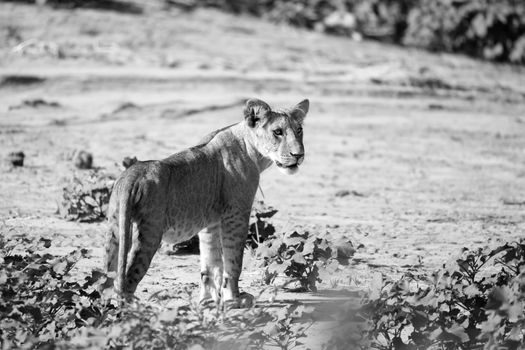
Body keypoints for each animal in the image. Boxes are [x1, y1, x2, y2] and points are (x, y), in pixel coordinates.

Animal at [103, 98, 308, 306]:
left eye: (299, 130)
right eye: (278, 132)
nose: (299, 155)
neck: (251, 150)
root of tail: (132, 175)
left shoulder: (211, 222)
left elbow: (211, 264)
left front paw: (208, 300)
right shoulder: (236, 214)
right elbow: (233, 261)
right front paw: (234, 299)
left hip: (115, 230)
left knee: (108, 276)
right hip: (149, 232)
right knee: (128, 279)